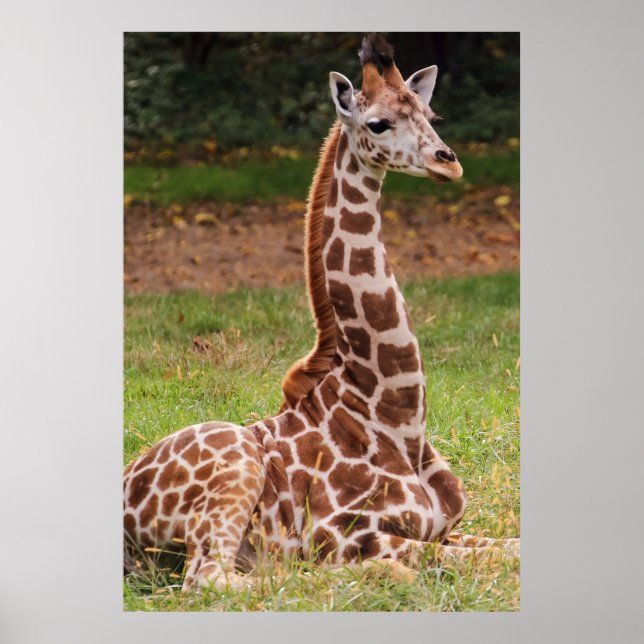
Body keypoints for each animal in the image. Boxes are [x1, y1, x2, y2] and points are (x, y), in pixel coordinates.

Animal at [123, 34, 519, 594]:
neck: (396, 415)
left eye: (430, 113)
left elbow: (509, 552)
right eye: (378, 123)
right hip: (234, 478)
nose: (448, 162)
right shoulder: (346, 533)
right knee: (219, 578)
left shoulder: (450, 529)